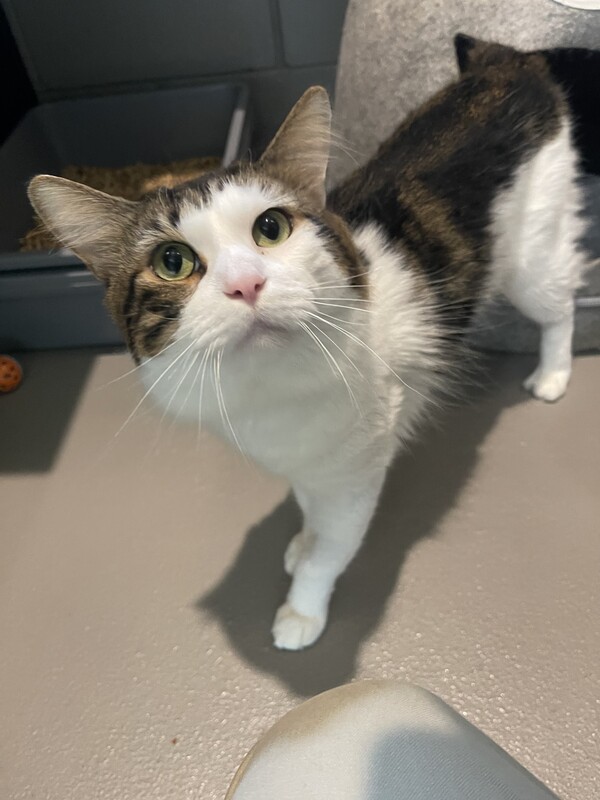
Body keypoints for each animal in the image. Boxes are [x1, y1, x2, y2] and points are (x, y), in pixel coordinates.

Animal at [28, 37, 588, 651]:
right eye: (172, 262)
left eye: (271, 228)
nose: (245, 285)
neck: (274, 388)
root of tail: (506, 61)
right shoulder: (306, 464)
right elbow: (305, 503)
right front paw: (301, 539)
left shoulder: (357, 478)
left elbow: (331, 549)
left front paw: (302, 608)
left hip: (533, 261)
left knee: (561, 307)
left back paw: (554, 375)